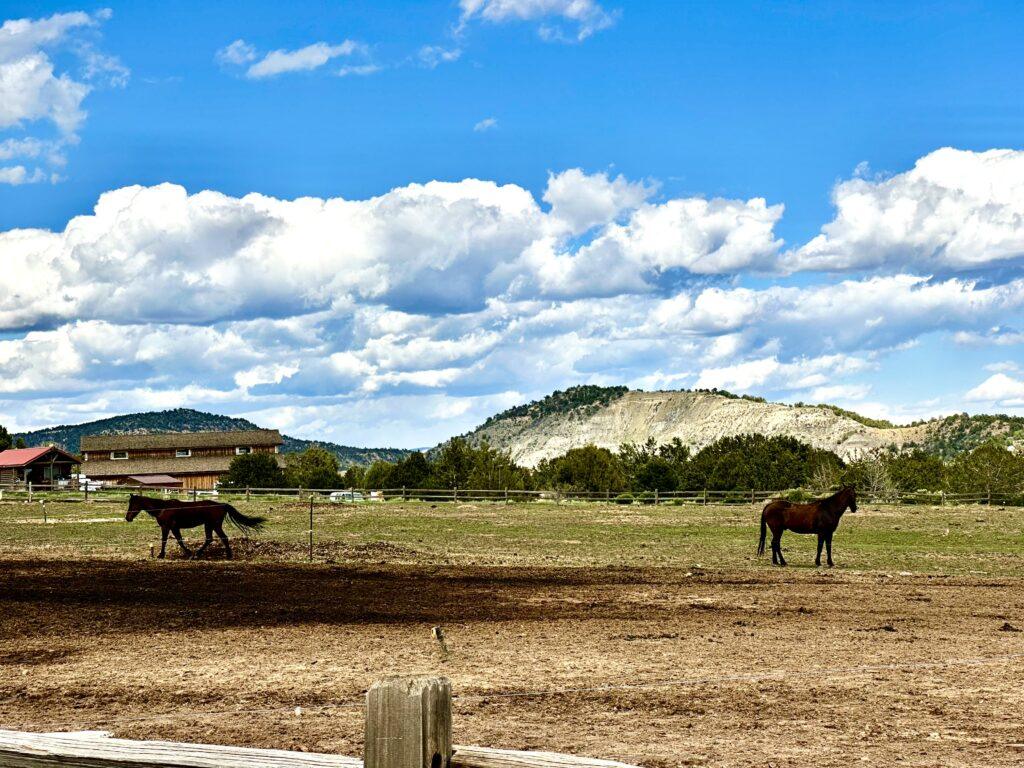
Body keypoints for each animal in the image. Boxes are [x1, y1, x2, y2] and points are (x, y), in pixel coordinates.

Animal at [125, 494, 267, 559]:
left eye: (132, 504)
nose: (127, 518)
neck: (163, 508)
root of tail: (222, 505)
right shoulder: (175, 528)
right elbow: (180, 541)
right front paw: (189, 553)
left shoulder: (166, 527)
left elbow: (164, 540)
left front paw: (161, 555)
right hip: (209, 525)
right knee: (209, 539)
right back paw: (198, 554)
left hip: (215, 525)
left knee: (223, 538)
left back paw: (228, 555)